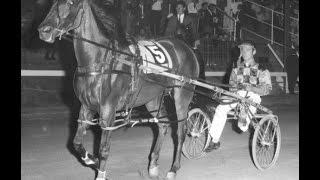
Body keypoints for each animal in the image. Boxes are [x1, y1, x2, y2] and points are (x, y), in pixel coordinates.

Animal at [38, 0, 200, 179]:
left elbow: (104, 149)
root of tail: (186, 48)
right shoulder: (86, 106)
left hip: (183, 94)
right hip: (152, 98)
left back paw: (173, 168)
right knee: (163, 124)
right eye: (53, 3)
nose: (44, 30)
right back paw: (153, 165)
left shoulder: (108, 110)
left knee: (181, 131)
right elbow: (77, 143)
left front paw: (101, 172)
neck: (101, 61)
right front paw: (91, 159)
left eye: (70, 3)